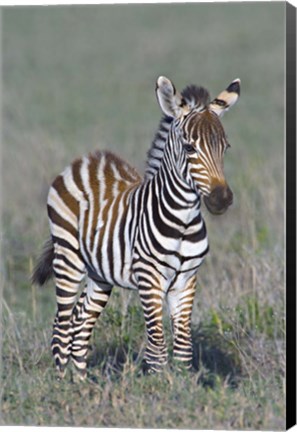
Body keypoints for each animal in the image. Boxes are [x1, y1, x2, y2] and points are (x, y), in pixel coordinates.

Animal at [32, 76, 239, 380]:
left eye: (225, 147)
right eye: (190, 148)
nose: (221, 199)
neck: (183, 221)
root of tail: (86, 160)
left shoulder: (187, 280)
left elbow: (183, 348)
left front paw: (182, 386)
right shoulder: (149, 278)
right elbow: (157, 347)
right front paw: (159, 386)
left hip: (100, 273)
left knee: (81, 321)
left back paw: (80, 382)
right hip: (68, 258)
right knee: (62, 323)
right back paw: (61, 384)